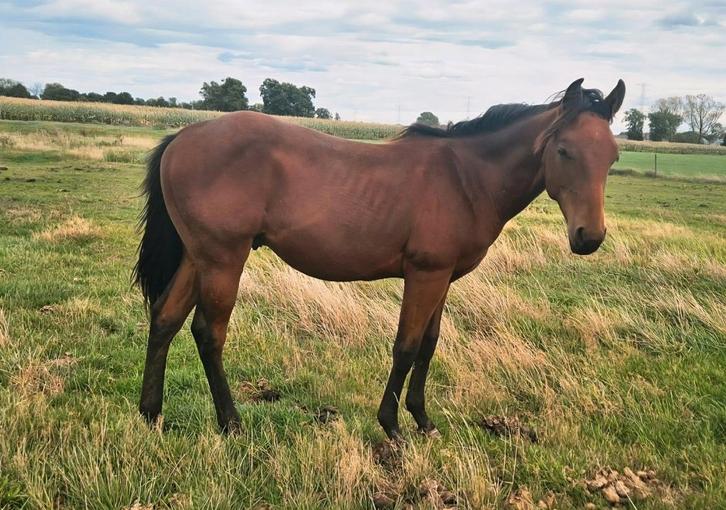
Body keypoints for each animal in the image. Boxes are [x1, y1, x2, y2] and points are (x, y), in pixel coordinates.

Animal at [134, 78, 625, 440]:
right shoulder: (424, 275)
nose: (589, 237)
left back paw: (150, 414)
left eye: (613, 156)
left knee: (165, 319)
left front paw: (424, 420)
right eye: (564, 150)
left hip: (198, 257)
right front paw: (392, 427)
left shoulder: (443, 278)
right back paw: (231, 424)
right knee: (208, 333)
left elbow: (429, 345)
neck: (465, 178)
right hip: (223, 260)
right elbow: (405, 347)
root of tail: (184, 135)